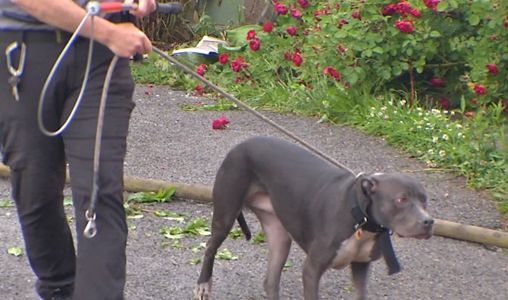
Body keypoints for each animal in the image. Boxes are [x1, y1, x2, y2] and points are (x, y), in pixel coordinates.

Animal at [192, 137, 430, 300]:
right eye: (401, 199)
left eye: (425, 201)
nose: (429, 222)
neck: (359, 216)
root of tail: (240, 145)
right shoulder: (312, 269)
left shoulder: (360, 266)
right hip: (225, 214)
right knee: (211, 247)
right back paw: (203, 284)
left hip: (279, 235)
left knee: (270, 281)